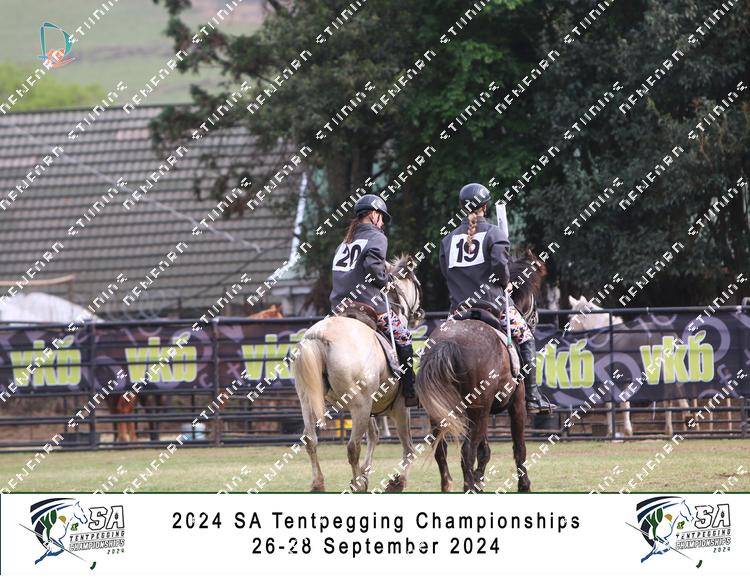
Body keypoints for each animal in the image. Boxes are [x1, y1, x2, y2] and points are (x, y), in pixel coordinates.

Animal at [292, 255, 423, 492]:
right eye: (417, 284)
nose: (420, 313)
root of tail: (320, 336)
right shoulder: (398, 407)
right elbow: (408, 447)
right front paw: (396, 481)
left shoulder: (370, 408)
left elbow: (374, 435)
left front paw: (366, 474)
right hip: (360, 404)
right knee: (353, 447)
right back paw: (356, 484)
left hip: (309, 399)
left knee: (311, 440)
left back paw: (319, 483)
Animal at [416, 249, 546, 493]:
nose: (535, 319)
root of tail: (449, 342)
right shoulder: (516, 405)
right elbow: (518, 447)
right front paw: (523, 484)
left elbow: (484, 450)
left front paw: (480, 480)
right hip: (478, 409)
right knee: (466, 450)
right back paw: (468, 486)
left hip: (443, 412)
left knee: (442, 450)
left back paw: (451, 485)